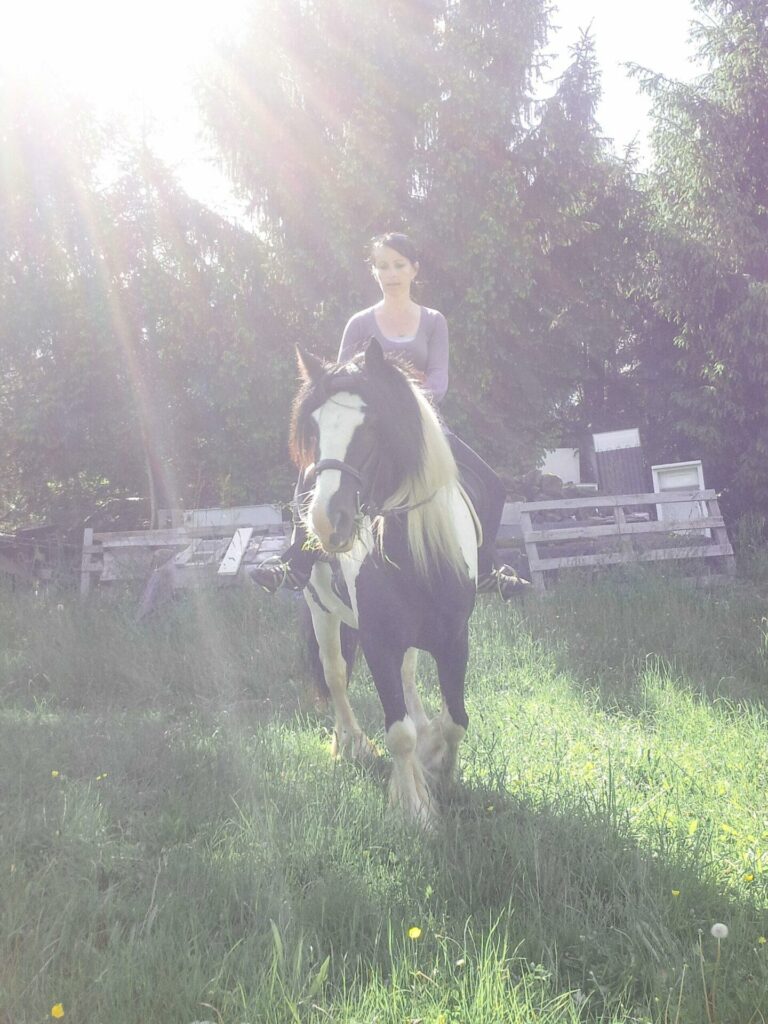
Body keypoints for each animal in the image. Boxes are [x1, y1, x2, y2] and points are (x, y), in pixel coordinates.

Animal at [290, 335, 479, 823]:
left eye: (372, 425)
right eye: (314, 429)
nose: (326, 522)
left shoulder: (455, 639)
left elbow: (455, 721)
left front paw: (441, 773)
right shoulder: (378, 643)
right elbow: (399, 734)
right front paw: (414, 809)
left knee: (409, 676)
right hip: (320, 610)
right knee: (335, 673)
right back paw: (351, 744)